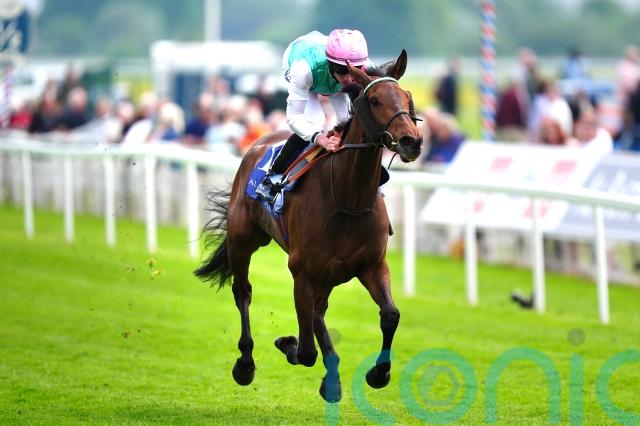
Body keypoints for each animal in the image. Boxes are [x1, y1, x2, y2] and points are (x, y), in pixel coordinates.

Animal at [195, 50, 423, 402]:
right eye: (374, 100)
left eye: (407, 97)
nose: (412, 141)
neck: (348, 197)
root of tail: (258, 143)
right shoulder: (302, 273)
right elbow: (305, 352)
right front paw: (288, 344)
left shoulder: (372, 265)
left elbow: (390, 315)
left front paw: (378, 373)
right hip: (242, 241)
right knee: (243, 292)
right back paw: (245, 364)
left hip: (328, 274)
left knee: (318, 311)